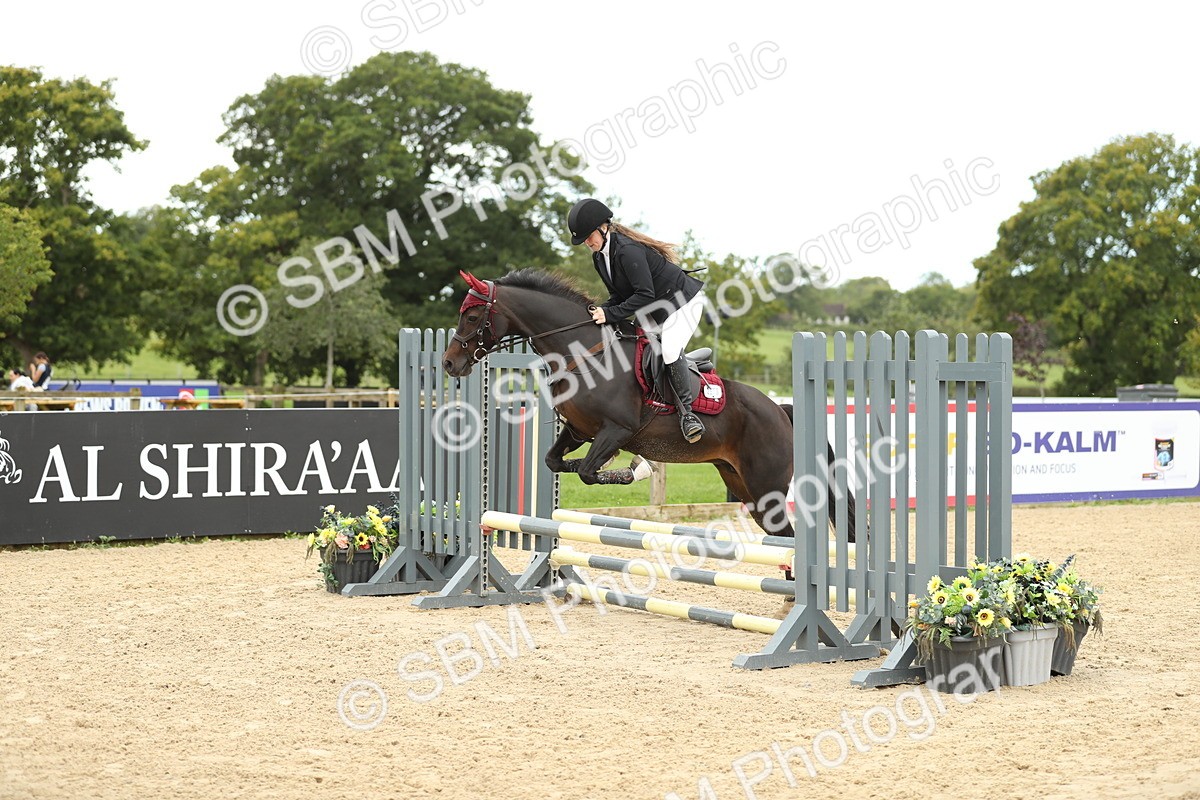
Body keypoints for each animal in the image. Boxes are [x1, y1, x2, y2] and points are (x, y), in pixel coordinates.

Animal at [442, 268, 855, 541]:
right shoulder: (578, 431)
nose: (449, 363)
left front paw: (635, 470)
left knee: (787, 536)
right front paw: (630, 468)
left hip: (765, 484)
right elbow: (555, 462)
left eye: (473, 315)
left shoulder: (616, 431)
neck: (584, 354)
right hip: (740, 483)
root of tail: (781, 410)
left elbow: (589, 471)